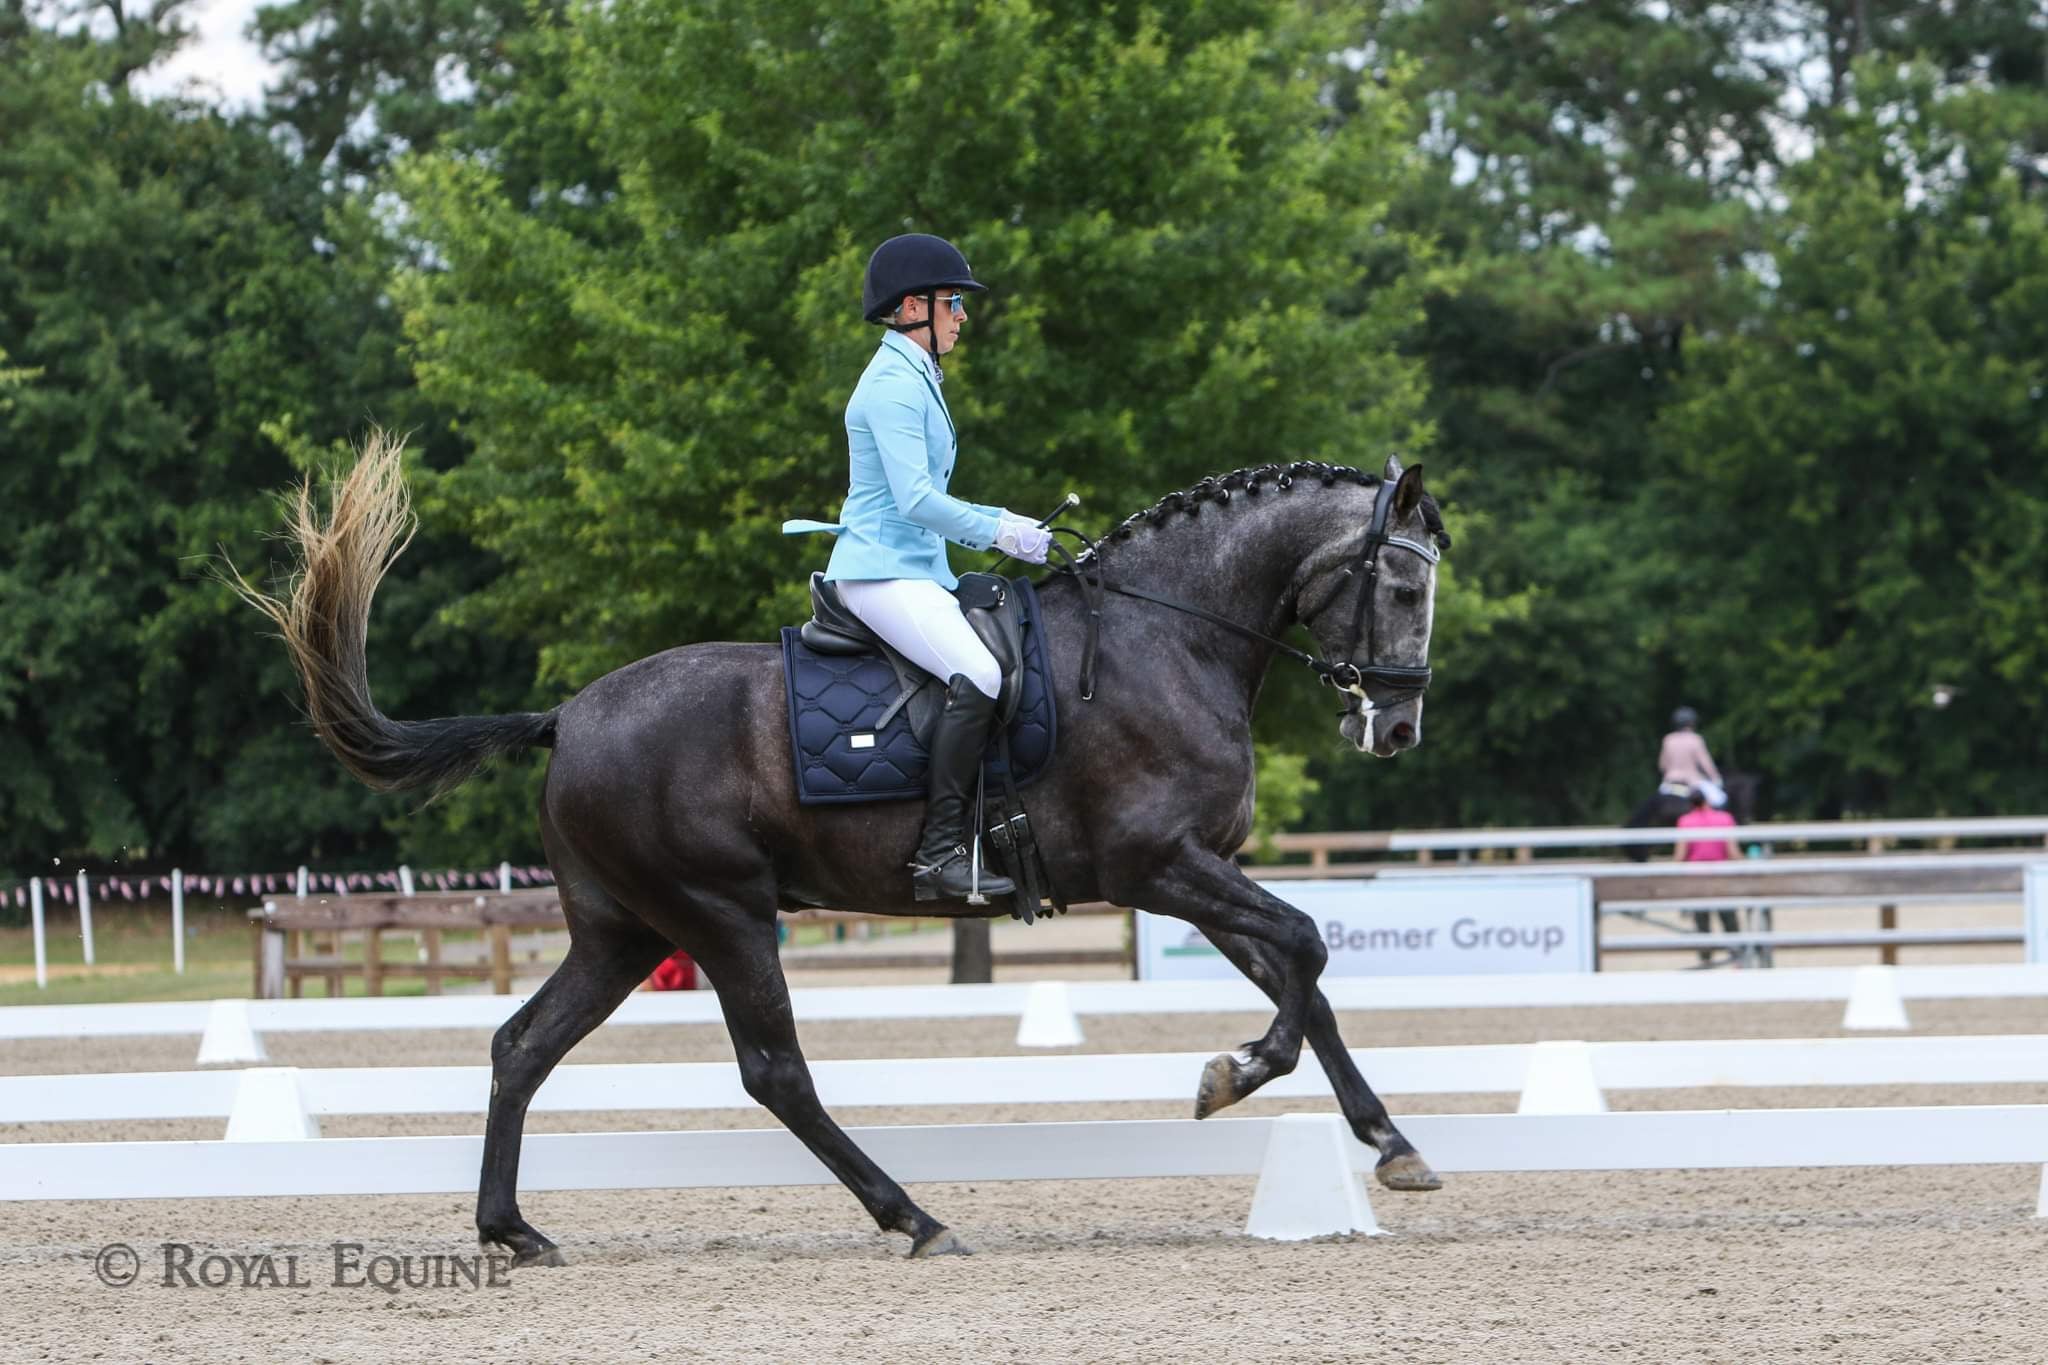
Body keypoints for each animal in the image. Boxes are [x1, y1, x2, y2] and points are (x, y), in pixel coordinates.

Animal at [239, 431, 1449, 1268]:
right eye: (1401, 584)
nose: (1395, 727)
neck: (1168, 634)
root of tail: (566, 717)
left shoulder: (1197, 871)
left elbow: (1304, 978)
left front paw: (1389, 1144)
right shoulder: (1159, 866)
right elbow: (1306, 951)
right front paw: (1230, 1075)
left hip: (624, 932)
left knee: (521, 1047)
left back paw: (514, 1231)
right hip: (721, 914)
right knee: (774, 1071)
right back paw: (913, 1217)